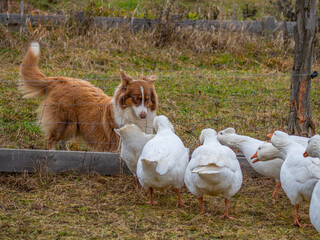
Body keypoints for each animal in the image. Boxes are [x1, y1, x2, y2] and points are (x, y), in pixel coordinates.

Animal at [19, 42, 158, 151]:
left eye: (147, 100)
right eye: (136, 98)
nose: (143, 115)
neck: (132, 116)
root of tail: (61, 80)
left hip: (73, 126)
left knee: (62, 143)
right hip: (63, 124)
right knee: (51, 141)